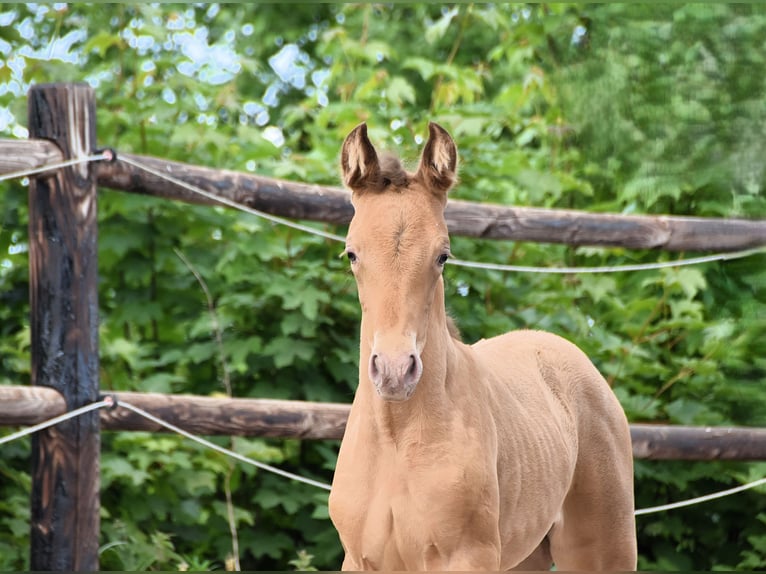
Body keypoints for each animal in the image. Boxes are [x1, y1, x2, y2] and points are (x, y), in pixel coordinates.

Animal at [328, 122, 637, 571]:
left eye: (442, 256)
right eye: (352, 253)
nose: (394, 371)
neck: (396, 441)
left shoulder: (467, 557)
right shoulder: (359, 560)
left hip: (602, 548)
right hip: (526, 554)